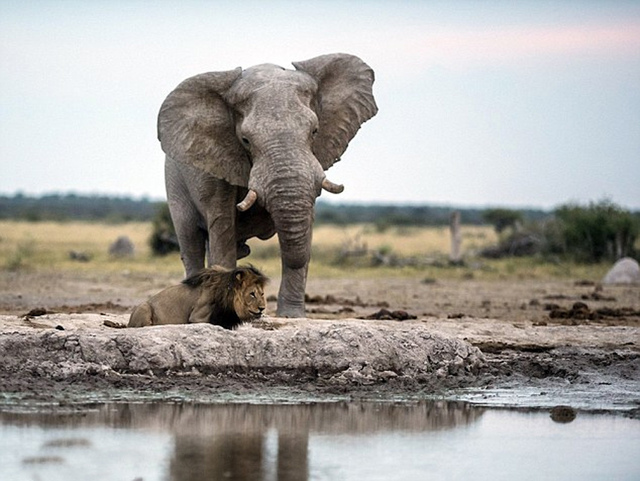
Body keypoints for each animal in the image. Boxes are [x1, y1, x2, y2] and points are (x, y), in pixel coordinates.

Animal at [159, 52, 378, 316]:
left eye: (315, 131)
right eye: (245, 140)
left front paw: (292, 316)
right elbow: (222, 225)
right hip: (174, 181)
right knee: (190, 240)